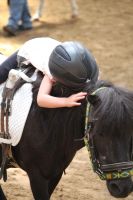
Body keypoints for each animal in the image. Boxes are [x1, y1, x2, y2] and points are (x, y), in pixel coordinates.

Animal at [0, 72, 133, 200]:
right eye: (100, 132)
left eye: (130, 133)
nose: (122, 187)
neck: (46, 123)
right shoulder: (36, 176)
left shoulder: (55, 173)